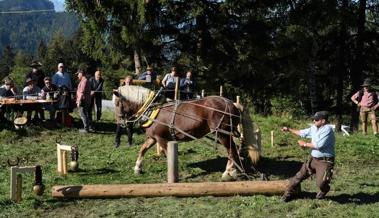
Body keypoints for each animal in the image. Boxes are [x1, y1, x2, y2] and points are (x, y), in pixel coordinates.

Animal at [116, 88, 245, 181]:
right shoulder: (153, 137)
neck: (152, 108)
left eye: (117, 103)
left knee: (231, 150)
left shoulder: (161, 138)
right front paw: (137, 168)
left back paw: (228, 173)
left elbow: (168, 155)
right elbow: (142, 149)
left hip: (222, 134)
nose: (119, 122)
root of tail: (232, 104)